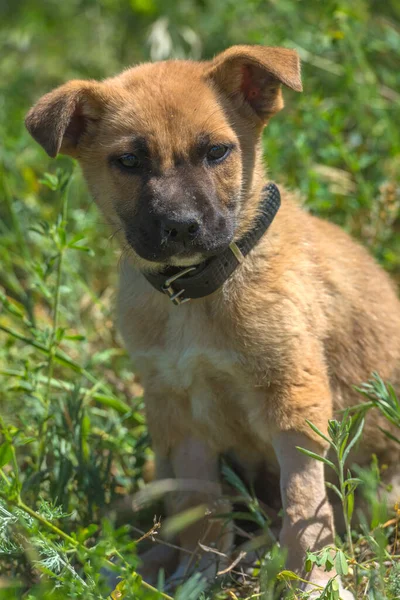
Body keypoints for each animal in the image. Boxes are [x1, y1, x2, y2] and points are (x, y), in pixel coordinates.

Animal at [25, 45, 400, 596]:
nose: (181, 226)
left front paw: (315, 581)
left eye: (218, 152)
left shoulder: (294, 398)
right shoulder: (179, 414)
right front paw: (197, 576)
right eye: (129, 161)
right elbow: (200, 508)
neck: (199, 292)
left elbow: (304, 506)